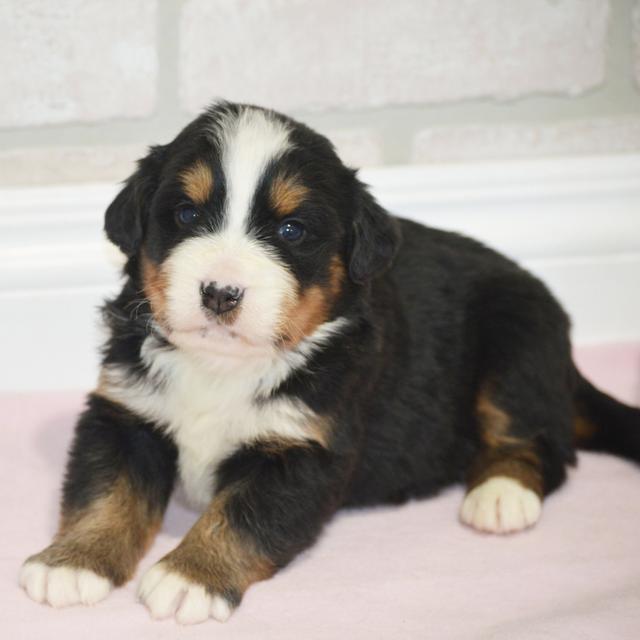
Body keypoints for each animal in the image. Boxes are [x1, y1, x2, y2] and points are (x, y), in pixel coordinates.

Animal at [18, 102, 640, 624]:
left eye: (292, 229)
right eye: (186, 214)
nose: (220, 292)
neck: (222, 368)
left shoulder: (306, 449)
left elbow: (241, 515)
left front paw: (190, 575)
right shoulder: (124, 411)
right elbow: (106, 492)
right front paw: (71, 562)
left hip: (517, 342)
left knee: (540, 442)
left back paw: (501, 495)